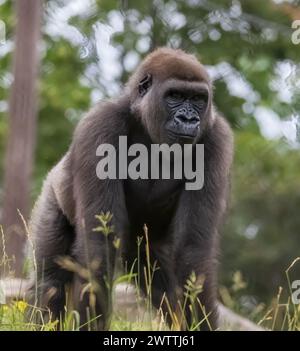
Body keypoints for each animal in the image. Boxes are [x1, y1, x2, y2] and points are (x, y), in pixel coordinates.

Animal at [27, 48, 234, 332]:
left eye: (198, 99)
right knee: (48, 279)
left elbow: (193, 251)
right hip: (52, 192)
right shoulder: (101, 125)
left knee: (164, 290)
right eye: (175, 96)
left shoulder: (215, 139)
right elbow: (99, 246)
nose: (189, 119)